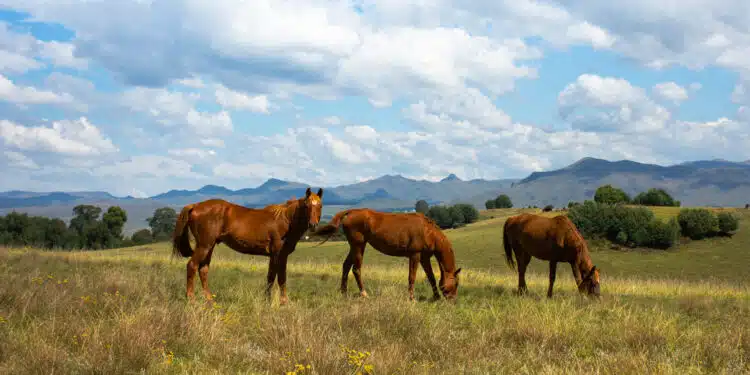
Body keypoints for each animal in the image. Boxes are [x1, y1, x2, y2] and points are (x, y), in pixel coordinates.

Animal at [173, 188, 326, 306]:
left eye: (320, 206)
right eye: (306, 206)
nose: (313, 225)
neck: (286, 220)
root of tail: (195, 205)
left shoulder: (273, 256)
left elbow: (270, 277)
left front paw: (267, 301)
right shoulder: (280, 254)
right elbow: (281, 278)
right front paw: (283, 303)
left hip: (209, 247)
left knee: (203, 270)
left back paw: (210, 300)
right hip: (204, 246)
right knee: (192, 266)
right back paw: (191, 300)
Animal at [312, 209, 464, 302]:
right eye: (456, 283)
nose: (453, 300)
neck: (428, 231)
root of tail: (351, 212)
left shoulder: (424, 258)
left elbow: (431, 277)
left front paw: (436, 296)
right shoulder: (415, 255)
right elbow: (412, 277)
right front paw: (412, 298)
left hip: (355, 247)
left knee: (346, 266)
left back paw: (344, 292)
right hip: (359, 246)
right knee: (356, 269)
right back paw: (363, 293)